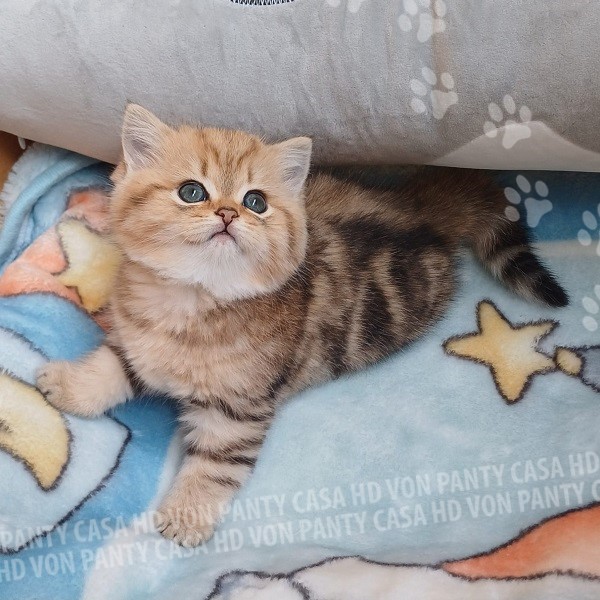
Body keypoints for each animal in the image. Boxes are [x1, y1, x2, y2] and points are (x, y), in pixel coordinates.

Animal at [36, 104, 567, 547]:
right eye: (192, 192)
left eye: (255, 201)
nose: (228, 213)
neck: (190, 302)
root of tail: (419, 211)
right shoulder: (137, 343)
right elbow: (111, 367)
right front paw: (69, 386)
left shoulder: (238, 409)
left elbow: (215, 464)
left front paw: (187, 514)